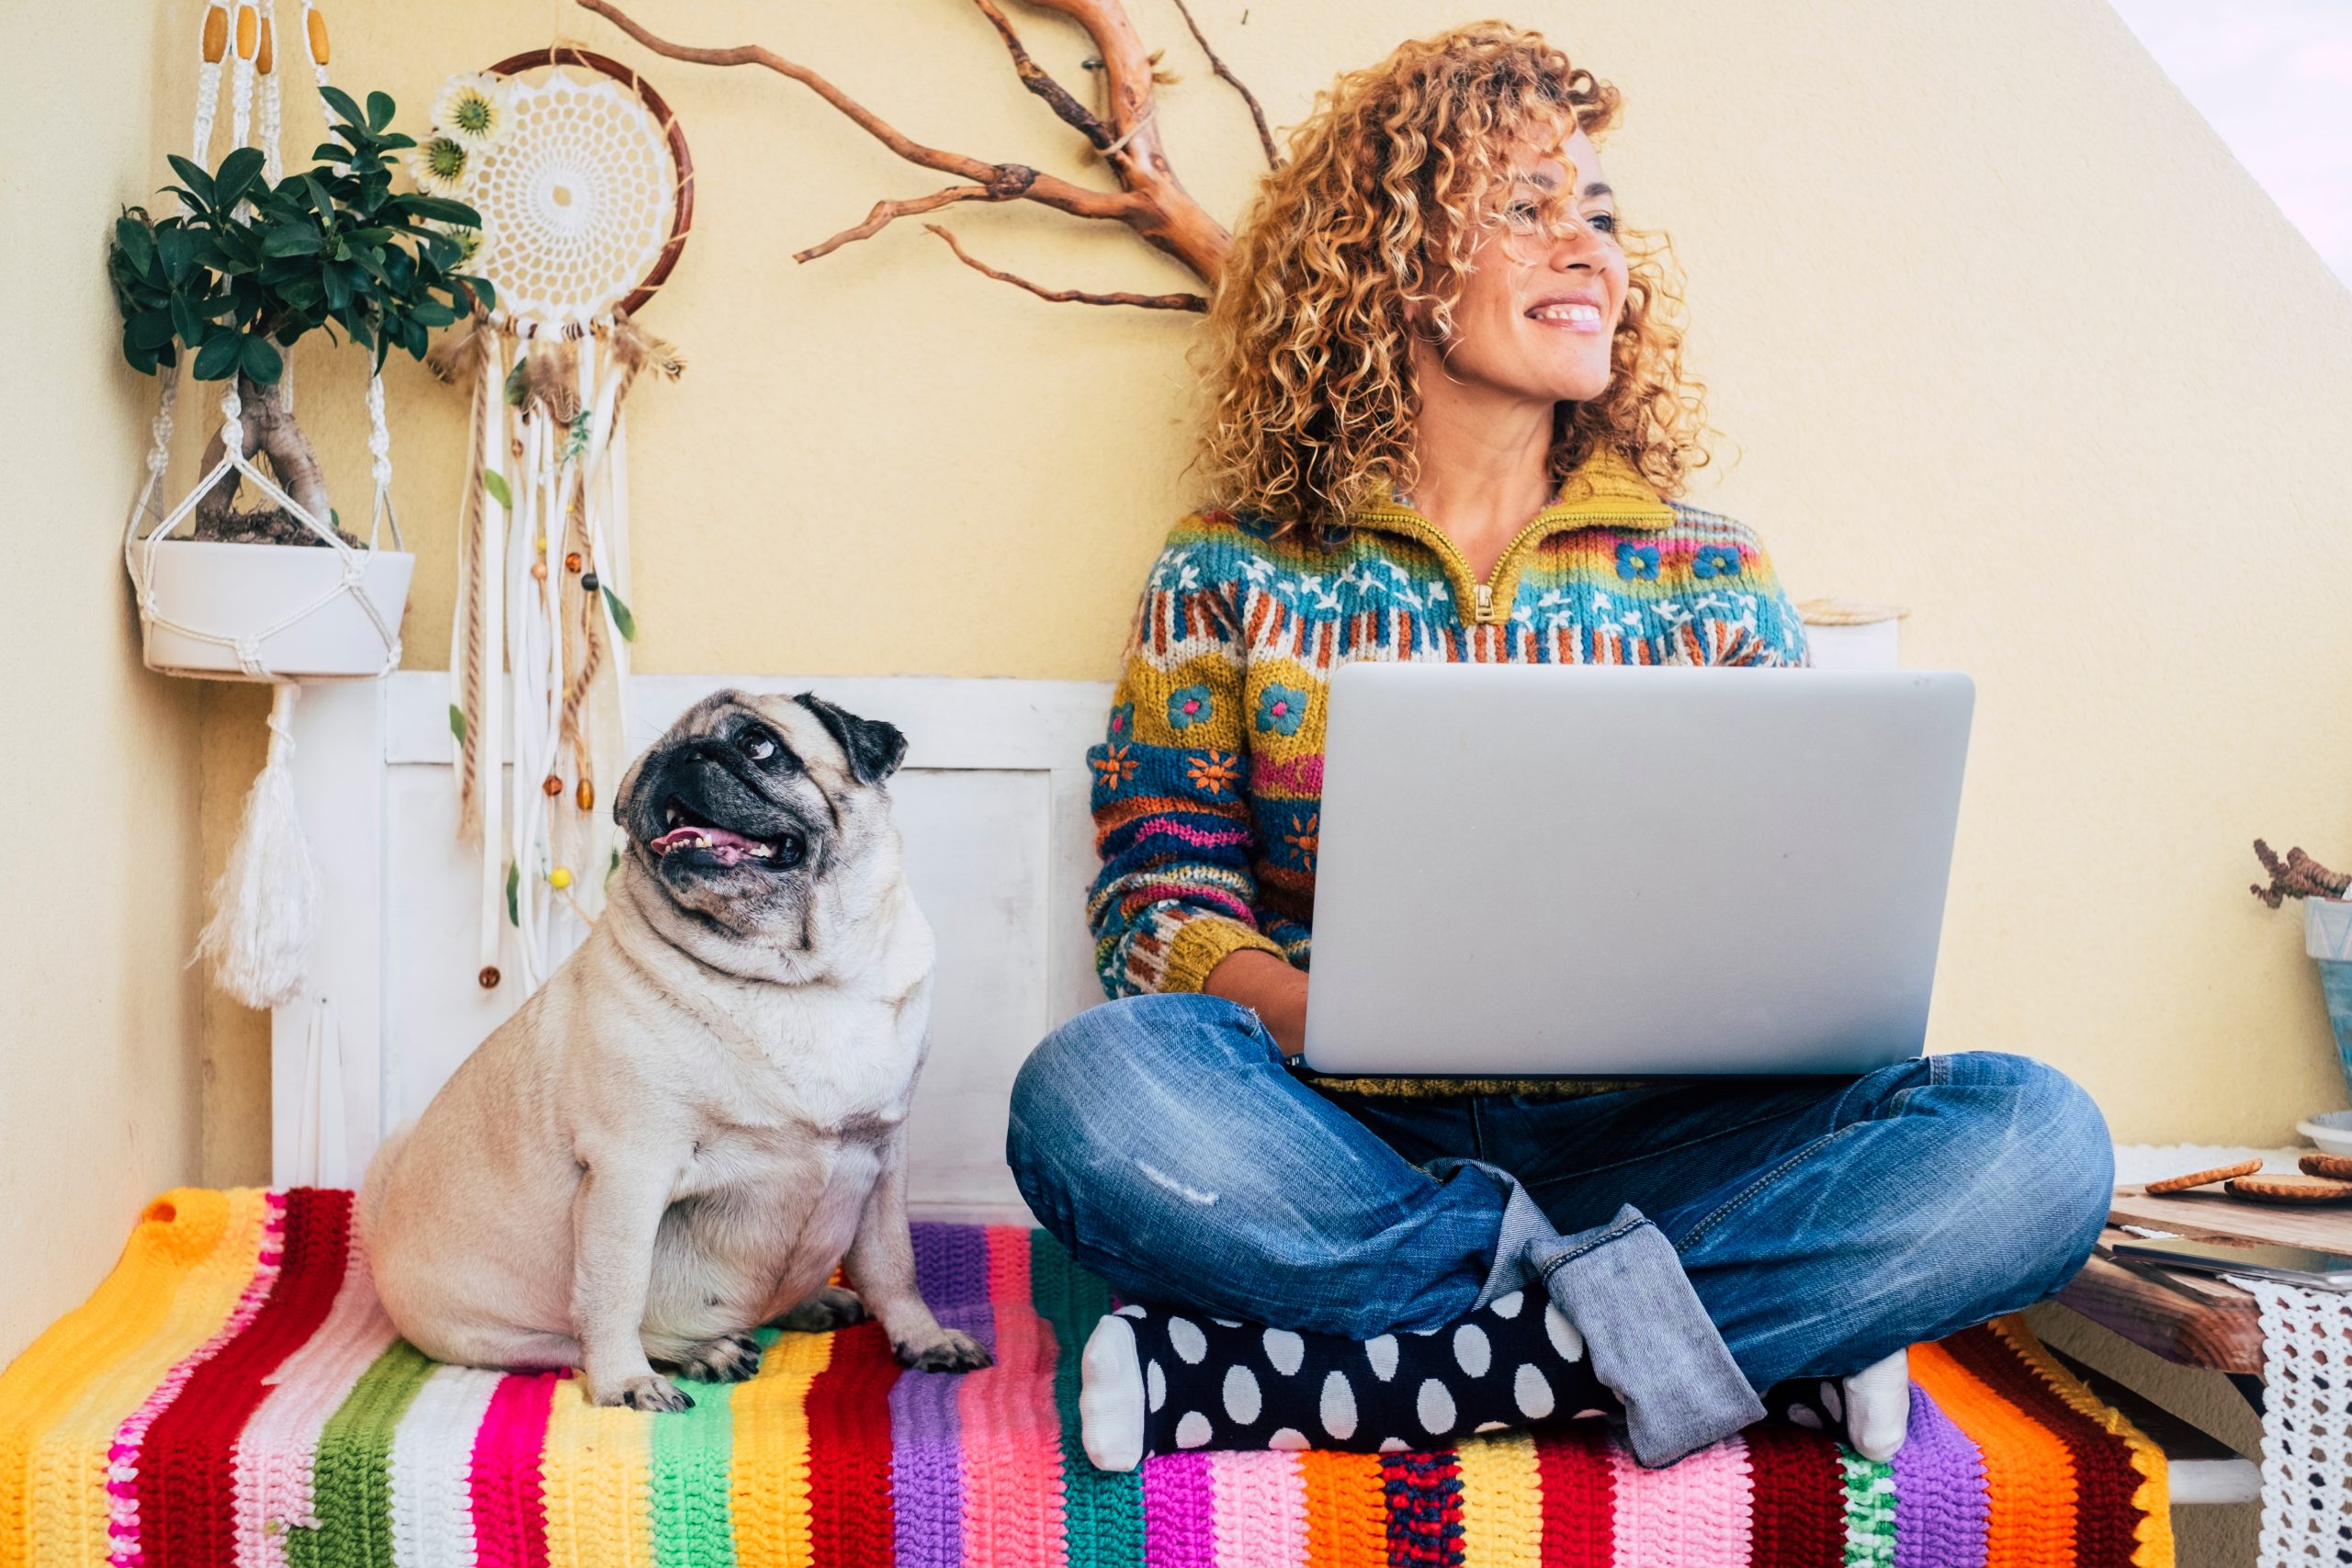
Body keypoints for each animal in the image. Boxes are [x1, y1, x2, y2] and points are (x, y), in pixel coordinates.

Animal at [362, 686, 988, 1410]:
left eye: (758, 745)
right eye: (646, 766)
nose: (680, 757)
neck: (796, 981)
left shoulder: (885, 1157)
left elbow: (894, 1266)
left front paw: (924, 1337)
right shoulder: (630, 1171)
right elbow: (614, 1293)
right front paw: (623, 1381)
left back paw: (808, 1304)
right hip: (499, 1331)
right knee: (575, 1335)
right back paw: (693, 1352)